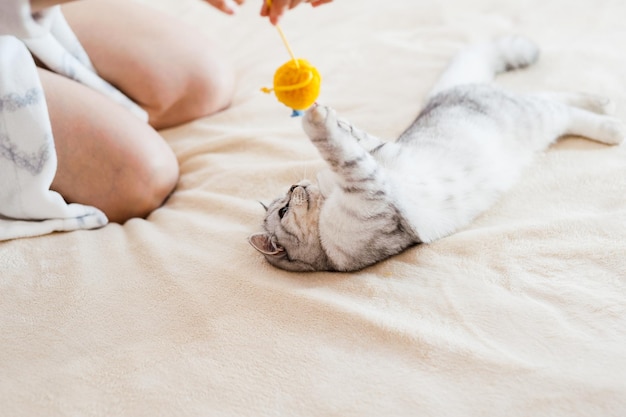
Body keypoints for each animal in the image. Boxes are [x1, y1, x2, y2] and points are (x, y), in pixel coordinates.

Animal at [246, 34, 620, 272]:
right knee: (562, 108)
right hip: (535, 118)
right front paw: (315, 122)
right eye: (282, 211)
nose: (296, 186)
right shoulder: (370, 187)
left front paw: (327, 115)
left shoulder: (378, 155)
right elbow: (344, 155)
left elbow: (353, 143)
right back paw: (611, 125)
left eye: (286, 199)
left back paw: (603, 103)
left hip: (526, 111)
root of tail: (445, 93)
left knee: (559, 97)